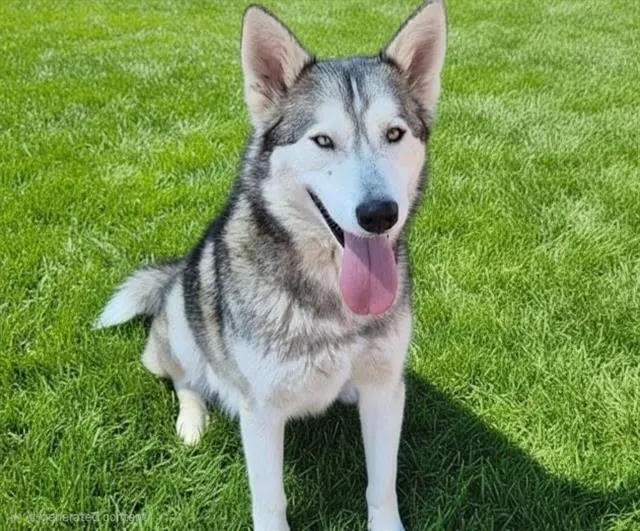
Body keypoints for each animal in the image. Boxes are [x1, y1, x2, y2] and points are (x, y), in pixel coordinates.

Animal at [96, 2, 447, 529]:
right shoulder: (260, 412)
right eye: (322, 141)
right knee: (185, 378)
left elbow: (381, 485)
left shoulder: (386, 389)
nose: (379, 214)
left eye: (394, 134)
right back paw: (192, 419)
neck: (333, 303)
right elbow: (270, 499)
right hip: (179, 324)